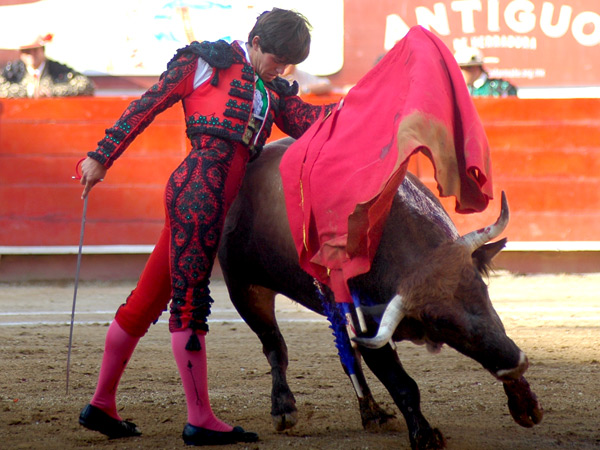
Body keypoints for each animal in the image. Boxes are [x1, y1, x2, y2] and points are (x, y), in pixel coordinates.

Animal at [218, 138, 543, 449]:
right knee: (274, 346)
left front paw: (525, 403)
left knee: (346, 355)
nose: (516, 362)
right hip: (244, 289)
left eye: (482, 289)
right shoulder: (368, 328)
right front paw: (425, 436)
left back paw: (372, 412)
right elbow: (402, 384)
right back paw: (283, 408)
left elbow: (494, 338)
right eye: (440, 323)